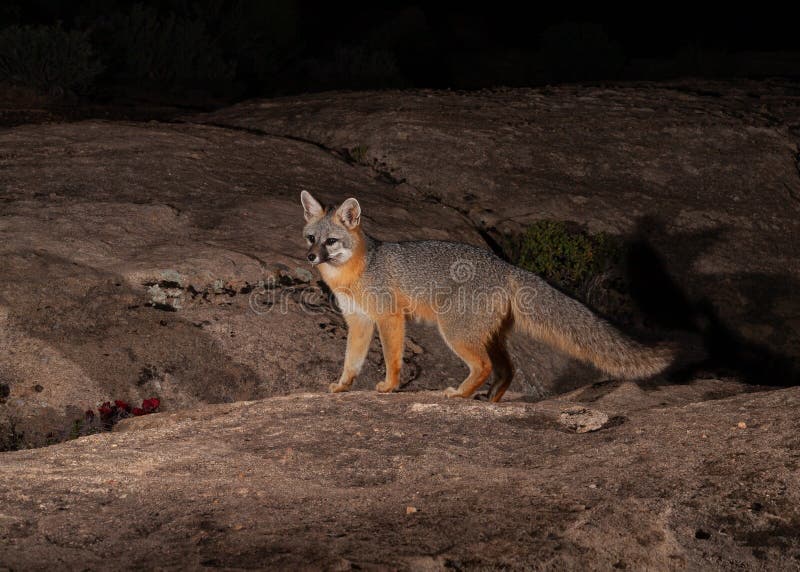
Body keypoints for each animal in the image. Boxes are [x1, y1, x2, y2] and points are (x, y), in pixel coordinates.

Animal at [300, 191, 674, 402]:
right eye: (310, 238)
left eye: (331, 241)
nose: (311, 257)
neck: (355, 270)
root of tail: (504, 264)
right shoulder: (359, 321)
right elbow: (351, 361)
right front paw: (342, 387)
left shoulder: (388, 317)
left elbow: (392, 359)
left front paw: (390, 386)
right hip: (486, 335)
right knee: (507, 369)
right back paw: (490, 400)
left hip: (455, 332)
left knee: (484, 366)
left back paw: (460, 393)